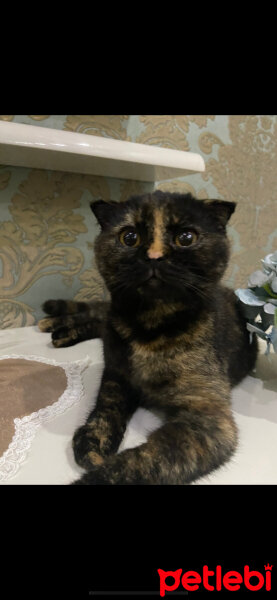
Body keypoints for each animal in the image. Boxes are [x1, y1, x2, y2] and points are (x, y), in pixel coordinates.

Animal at [38, 192, 256, 482]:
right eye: (129, 237)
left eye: (186, 237)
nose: (154, 256)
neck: (150, 328)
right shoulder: (116, 372)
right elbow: (107, 404)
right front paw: (92, 440)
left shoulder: (209, 416)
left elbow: (141, 462)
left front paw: (97, 467)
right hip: (112, 315)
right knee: (98, 314)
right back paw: (54, 321)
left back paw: (59, 329)